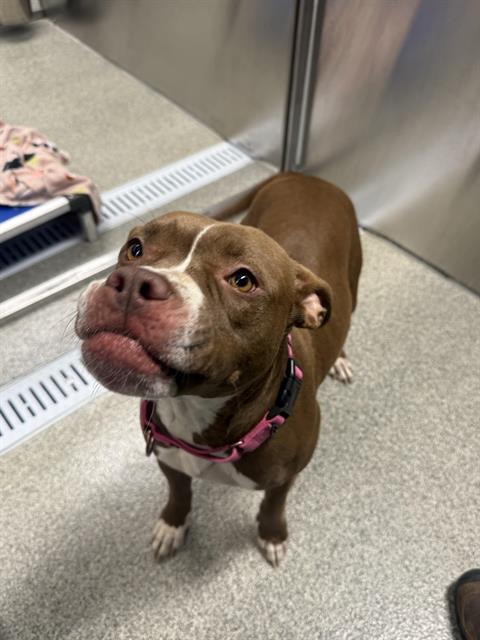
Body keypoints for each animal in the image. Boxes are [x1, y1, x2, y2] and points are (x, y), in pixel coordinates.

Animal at [75, 172, 362, 566]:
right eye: (135, 248)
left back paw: (342, 359)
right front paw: (173, 524)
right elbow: (179, 493)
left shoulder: (285, 477)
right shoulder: (170, 460)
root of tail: (306, 176)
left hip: (352, 283)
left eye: (243, 280)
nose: (134, 283)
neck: (194, 412)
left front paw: (272, 535)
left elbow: (274, 504)